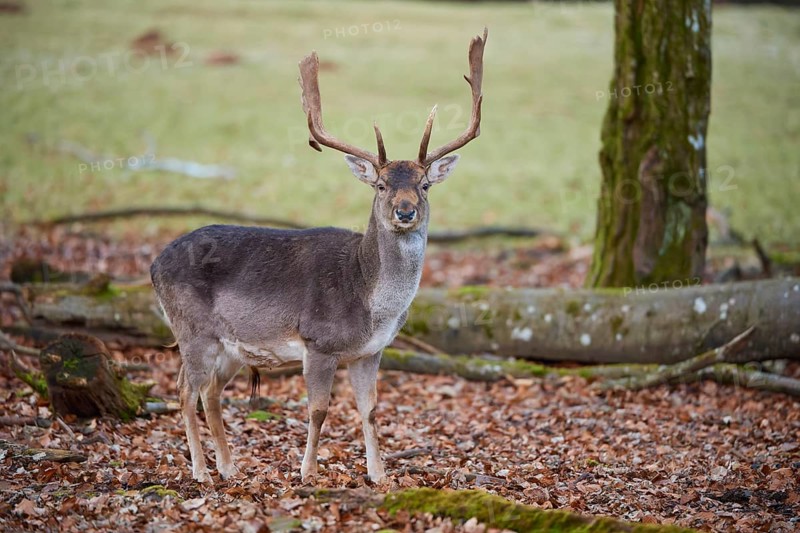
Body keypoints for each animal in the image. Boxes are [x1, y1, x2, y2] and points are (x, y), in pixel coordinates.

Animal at [149, 28, 487, 485]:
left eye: (424, 185)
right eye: (381, 185)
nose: (405, 211)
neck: (366, 297)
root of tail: (153, 264)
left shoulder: (370, 351)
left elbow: (371, 409)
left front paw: (379, 475)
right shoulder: (318, 343)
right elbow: (319, 410)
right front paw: (308, 472)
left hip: (230, 345)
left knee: (210, 391)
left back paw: (229, 466)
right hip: (192, 328)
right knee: (186, 390)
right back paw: (202, 471)